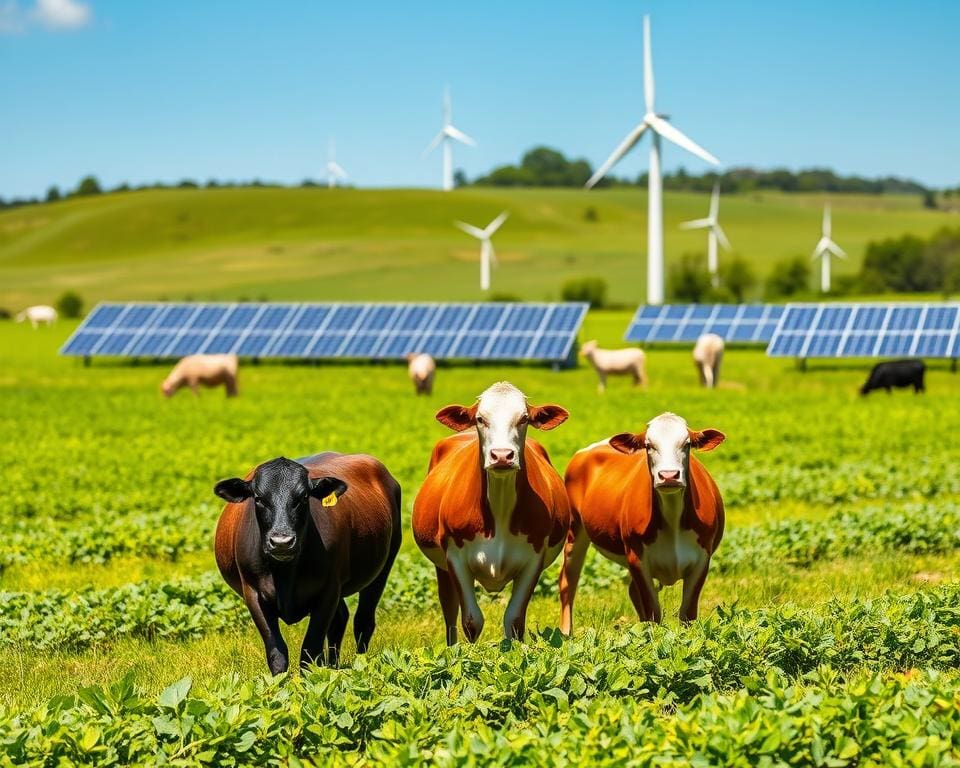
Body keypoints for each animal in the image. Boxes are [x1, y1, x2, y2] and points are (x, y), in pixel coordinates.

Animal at [412, 382, 568, 640]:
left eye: (524, 418)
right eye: (480, 419)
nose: (502, 455)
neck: (500, 509)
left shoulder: (535, 556)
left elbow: (514, 620)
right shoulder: (454, 555)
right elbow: (471, 621)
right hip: (441, 565)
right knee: (449, 608)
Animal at [560, 412, 724, 632]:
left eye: (687, 444)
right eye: (648, 445)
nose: (669, 476)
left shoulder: (702, 558)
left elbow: (687, 613)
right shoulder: (636, 557)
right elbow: (653, 611)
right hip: (574, 529)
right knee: (568, 583)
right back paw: (565, 632)